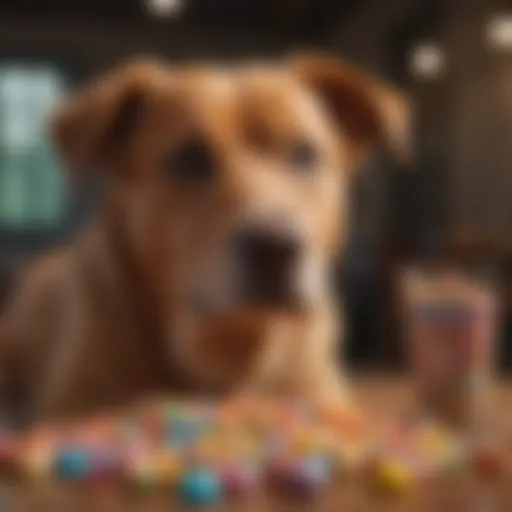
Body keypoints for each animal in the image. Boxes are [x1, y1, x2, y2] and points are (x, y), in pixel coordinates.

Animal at [0, 53, 408, 424]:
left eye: (304, 154)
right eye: (189, 160)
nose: (276, 247)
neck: (230, 350)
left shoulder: (322, 396)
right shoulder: (74, 405)